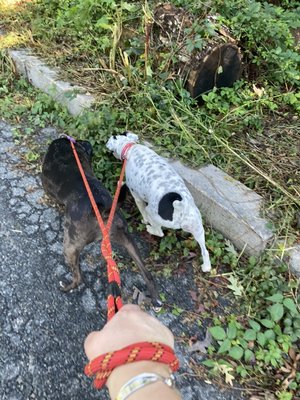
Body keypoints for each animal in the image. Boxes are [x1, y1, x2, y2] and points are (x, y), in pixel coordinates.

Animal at [42, 138, 159, 304]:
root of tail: (104, 212)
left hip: (70, 245)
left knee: (78, 277)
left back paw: (66, 287)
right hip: (127, 239)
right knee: (147, 274)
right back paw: (156, 299)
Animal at [105, 131, 211, 272]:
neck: (130, 147)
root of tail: (181, 210)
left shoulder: (137, 196)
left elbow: (142, 210)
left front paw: (144, 221)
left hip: (153, 213)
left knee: (159, 232)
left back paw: (150, 228)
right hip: (197, 227)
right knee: (205, 251)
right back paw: (206, 266)